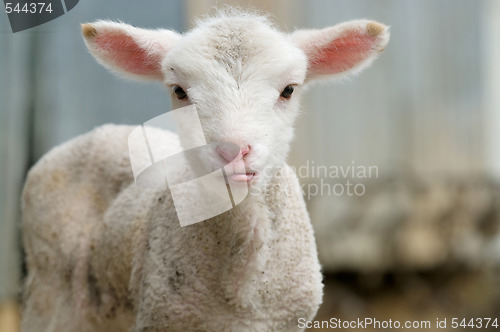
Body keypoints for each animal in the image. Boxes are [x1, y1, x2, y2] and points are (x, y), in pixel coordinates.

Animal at [20, 10, 390, 332]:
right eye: (179, 91)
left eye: (289, 90)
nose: (233, 150)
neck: (242, 291)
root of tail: (100, 131)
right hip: (49, 288)